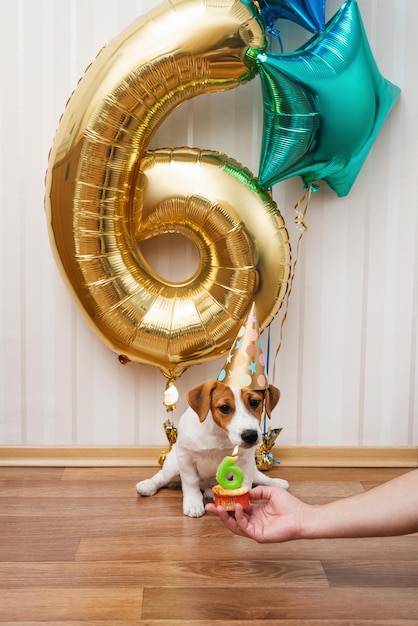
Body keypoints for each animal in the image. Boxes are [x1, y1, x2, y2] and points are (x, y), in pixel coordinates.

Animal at [136, 378, 290, 516]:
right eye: (224, 408)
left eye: (254, 402)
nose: (250, 436)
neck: (219, 434)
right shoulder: (186, 457)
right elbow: (191, 482)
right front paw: (193, 503)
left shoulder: (245, 461)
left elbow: (246, 482)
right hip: (173, 467)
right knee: (161, 477)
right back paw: (148, 486)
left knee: (260, 477)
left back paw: (276, 483)